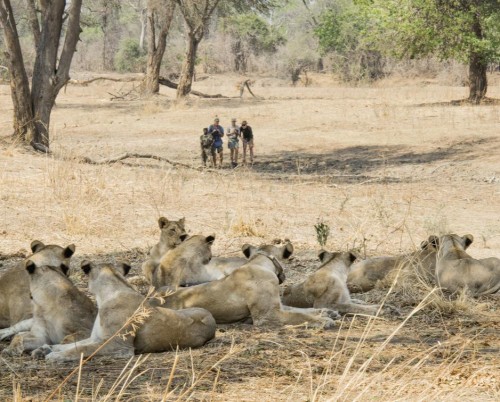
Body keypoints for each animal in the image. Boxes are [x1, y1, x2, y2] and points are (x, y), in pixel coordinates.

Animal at [32, 260, 217, 362]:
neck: (106, 295)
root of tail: (213, 320)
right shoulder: (96, 338)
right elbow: (72, 344)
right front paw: (45, 349)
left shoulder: (118, 345)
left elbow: (81, 350)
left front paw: (55, 356)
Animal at [159, 240, 340, 328]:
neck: (260, 262)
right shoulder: (267, 315)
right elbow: (300, 315)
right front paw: (324, 321)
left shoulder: (278, 306)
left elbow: (303, 310)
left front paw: (328, 312)